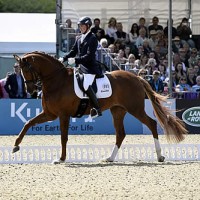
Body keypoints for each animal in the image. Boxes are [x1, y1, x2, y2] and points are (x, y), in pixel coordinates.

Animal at [13, 52, 187, 163]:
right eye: (20, 70)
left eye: (27, 69)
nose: (30, 90)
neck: (57, 80)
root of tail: (136, 77)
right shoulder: (49, 113)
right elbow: (28, 123)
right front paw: (16, 146)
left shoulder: (63, 115)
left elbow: (63, 137)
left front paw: (61, 159)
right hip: (118, 111)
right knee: (120, 134)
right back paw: (110, 158)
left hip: (135, 108)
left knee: (151, 123)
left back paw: (159, 156)